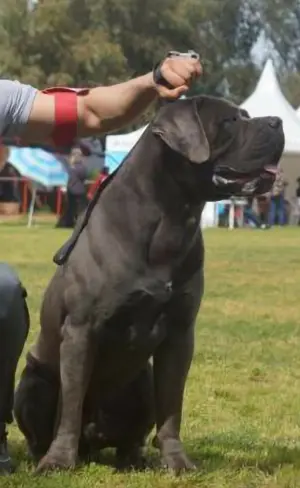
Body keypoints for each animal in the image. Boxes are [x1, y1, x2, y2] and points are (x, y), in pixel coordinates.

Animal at [14, 94, 286, 472]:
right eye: (231, 120)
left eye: (246, 115)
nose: (278, 122)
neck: (170, 217)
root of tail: (92, 445)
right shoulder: (81, 330)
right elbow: (70, 406)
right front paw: (58, 461)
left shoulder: (180, 333)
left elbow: (172, 405)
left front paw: (177, 461)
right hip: (33, 381)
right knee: (45, 426)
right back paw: (49, 454)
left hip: (140, 381)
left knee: (133, 434)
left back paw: (134, 459)